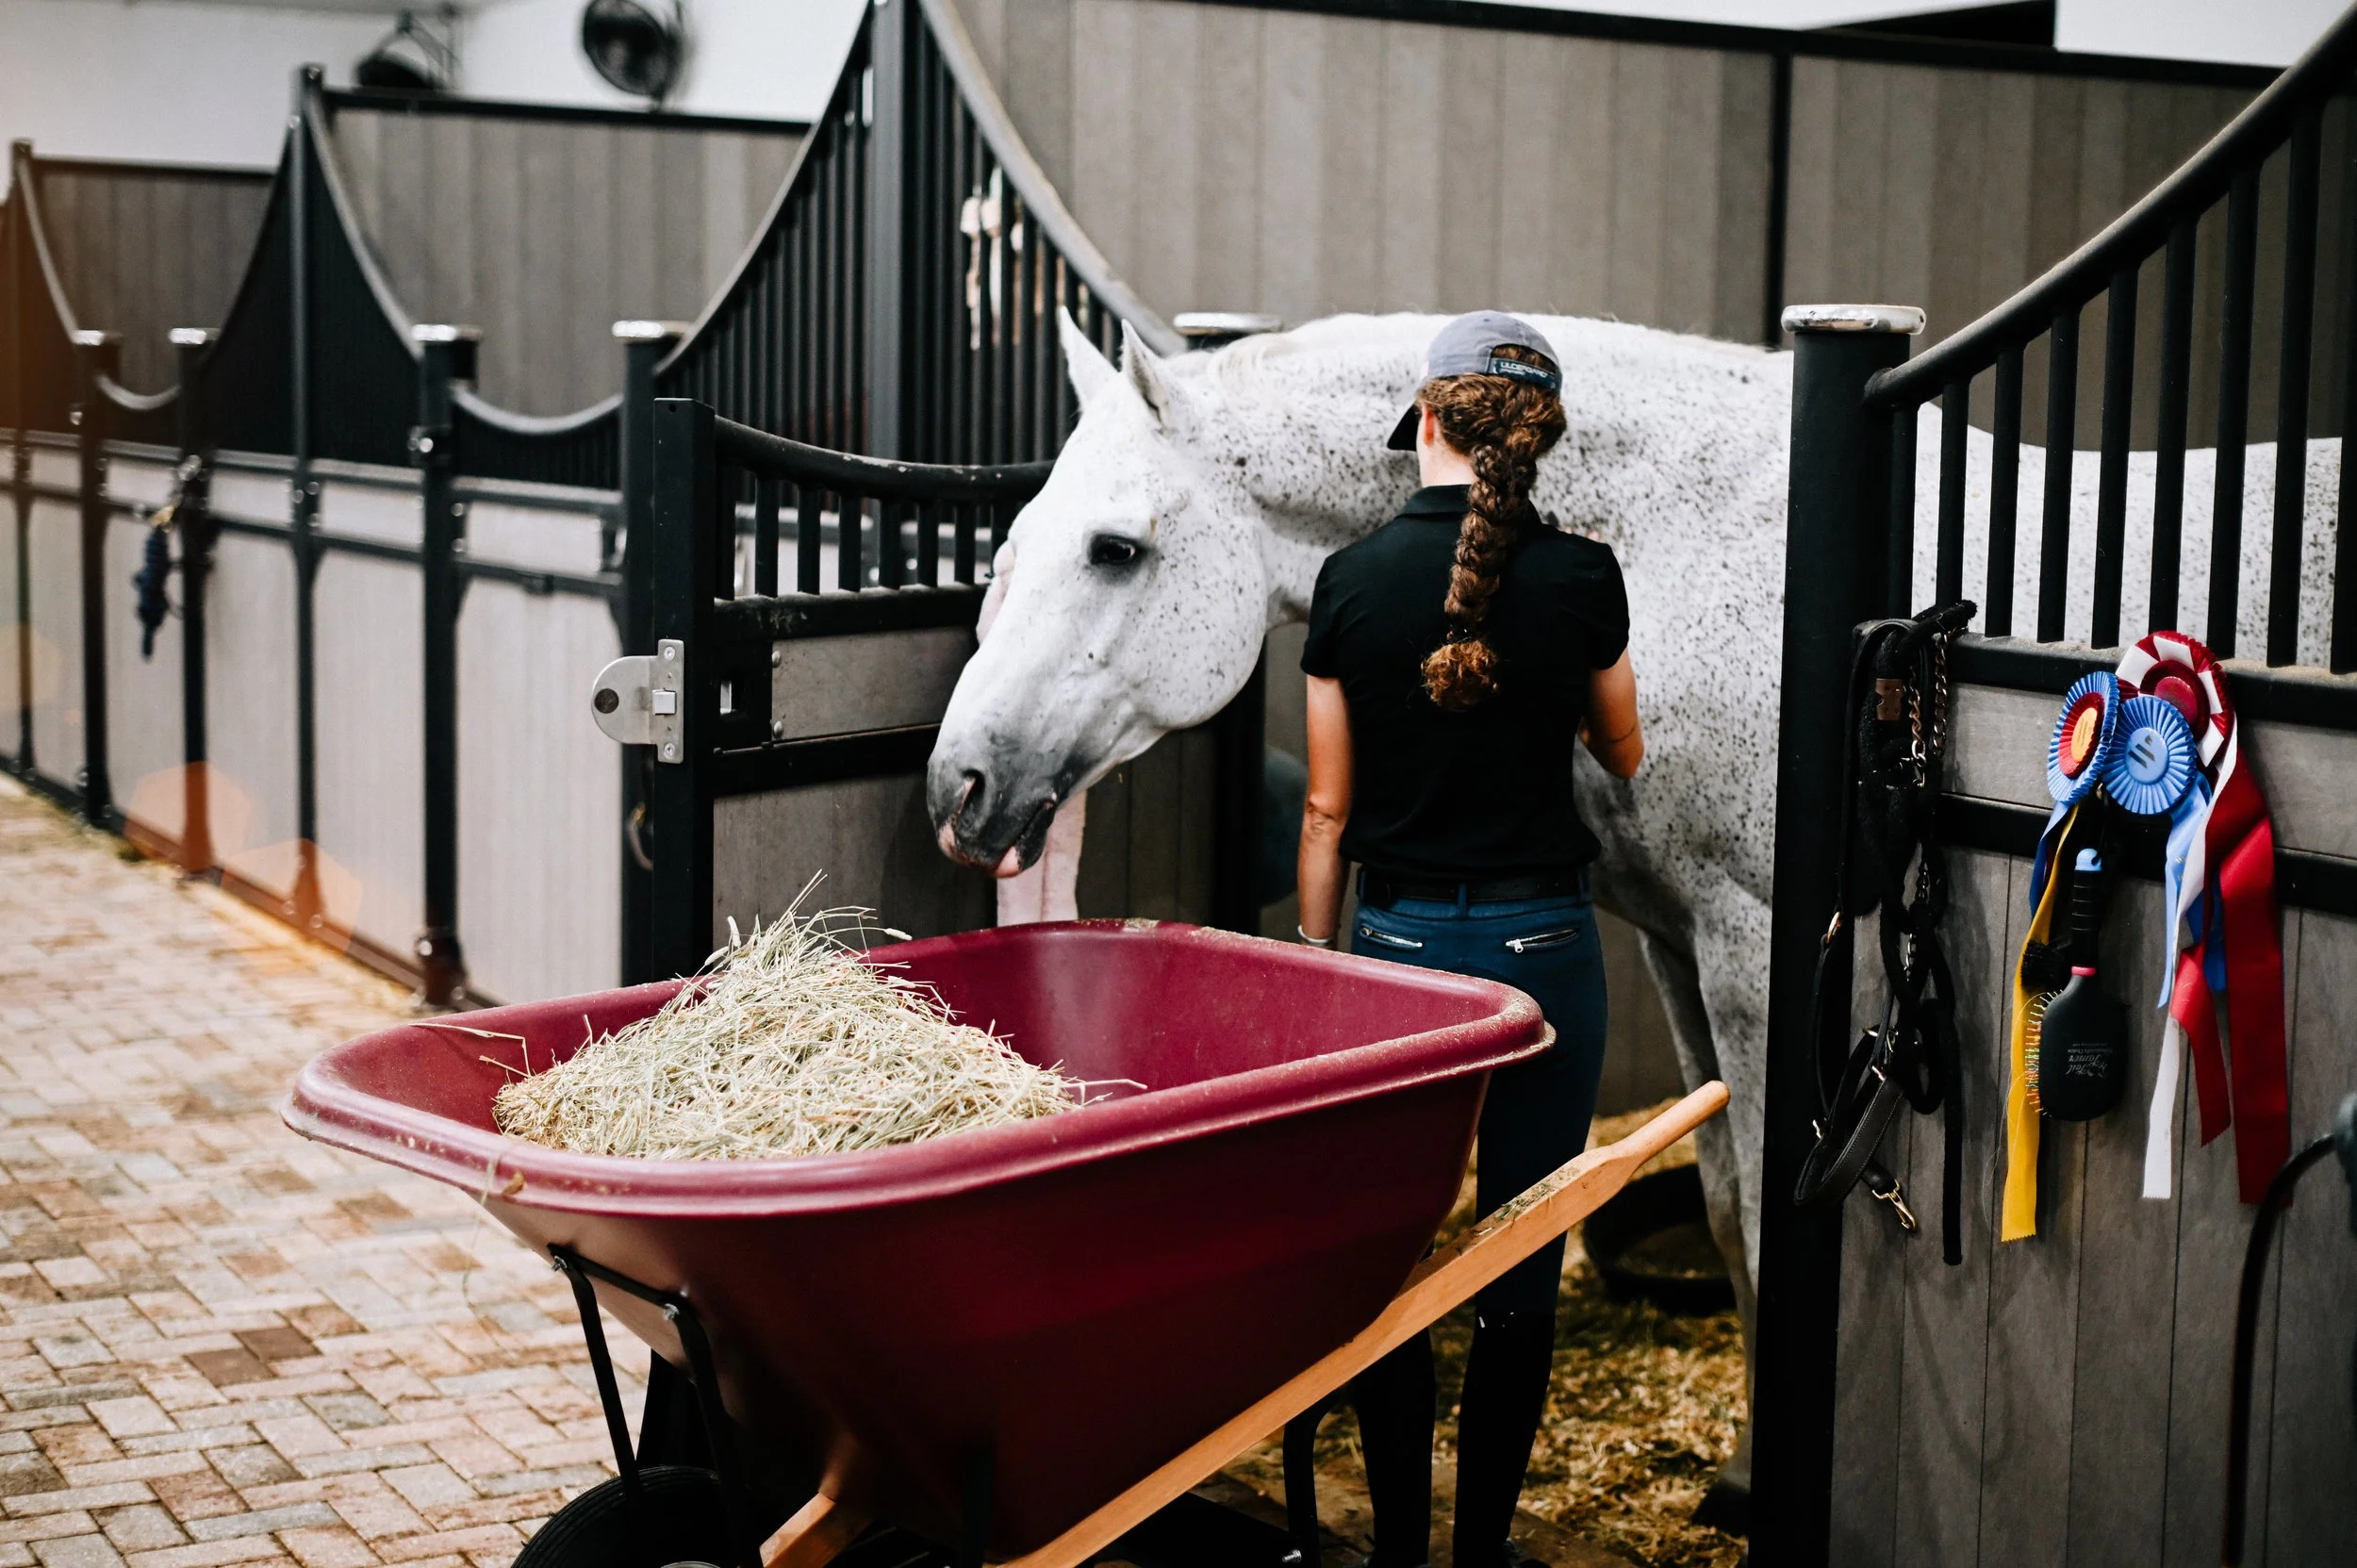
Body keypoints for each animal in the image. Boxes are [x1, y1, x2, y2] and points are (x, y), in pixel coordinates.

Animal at [926, 307, 2339, 1508]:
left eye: (1118, 548)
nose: (959, 786)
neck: (1692, 539)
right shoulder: (1675, 937)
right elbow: (1723, 1209)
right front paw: (1748, 1471)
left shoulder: (1761, 946)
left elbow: (1772, 1213)